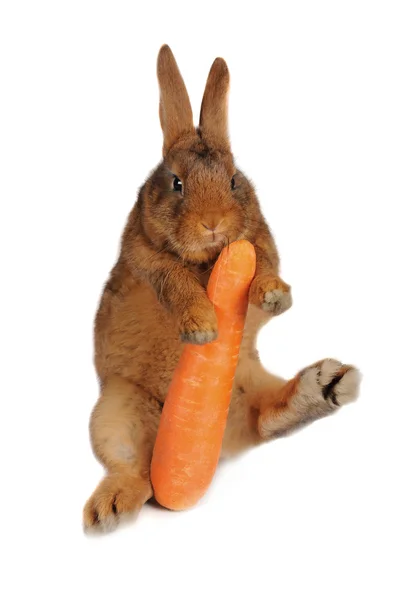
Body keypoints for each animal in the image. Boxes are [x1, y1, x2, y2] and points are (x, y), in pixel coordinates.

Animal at [83, 48, 360, 536]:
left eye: (233, 180)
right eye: (176, 182)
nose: (212, 223)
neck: (208, 258)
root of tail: (221, 439)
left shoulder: (259, 245)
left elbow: (265, 266)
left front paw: (274, 298)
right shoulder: (148, 263)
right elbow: (176, 282)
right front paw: (202, 328)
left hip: (246, 384)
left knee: (265, 420)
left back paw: (327, 385)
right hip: (115, 411)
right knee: (134, 470)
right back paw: (109, 509)